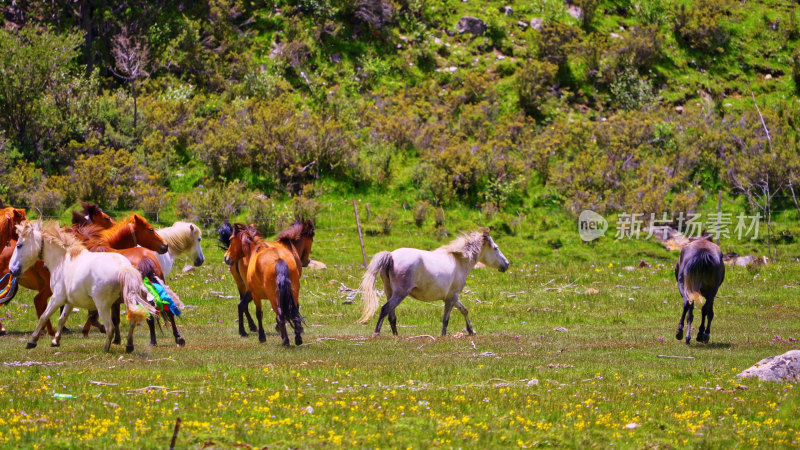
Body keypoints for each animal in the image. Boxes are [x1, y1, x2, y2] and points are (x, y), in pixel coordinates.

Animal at [9, 221, 156, 352]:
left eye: (19, 245)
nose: (12, 270)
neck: (63, 260)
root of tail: (123, 267)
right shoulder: (69, 301)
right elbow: (62, 319)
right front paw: (56, 341)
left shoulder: (57, 298)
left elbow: (43, 317)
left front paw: (32, 341)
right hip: (128, 300)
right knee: (132, 320)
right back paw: (129, 346)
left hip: (103, 305)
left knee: (110, 328)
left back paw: (105, 349)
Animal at [360, 230, 510, 336]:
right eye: (496, 248)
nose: (507, 264)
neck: (459, 260)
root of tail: (391, 255)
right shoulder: (451, 298)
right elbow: (446, 319)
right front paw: (444, 336)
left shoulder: (451, 298)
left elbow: (464, 310)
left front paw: (471, 331)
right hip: (400, 293)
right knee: (385, 309)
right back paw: (376, 333)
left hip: (389, 292)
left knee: (391, 315)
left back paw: (396, 335)